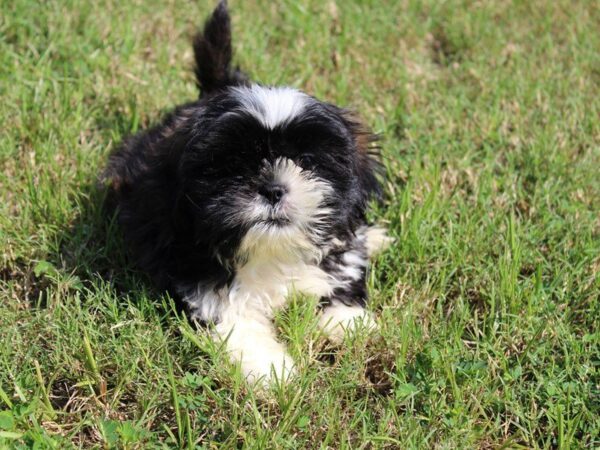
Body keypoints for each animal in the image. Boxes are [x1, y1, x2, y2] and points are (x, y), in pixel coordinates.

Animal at [105, 0, 392, 384]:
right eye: (233, 166)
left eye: (306, 161)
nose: (272, 189)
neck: (272, 252)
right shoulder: (204, 282)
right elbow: (236, 326)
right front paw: (274, 373)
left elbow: (340, 280)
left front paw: (348, 324)